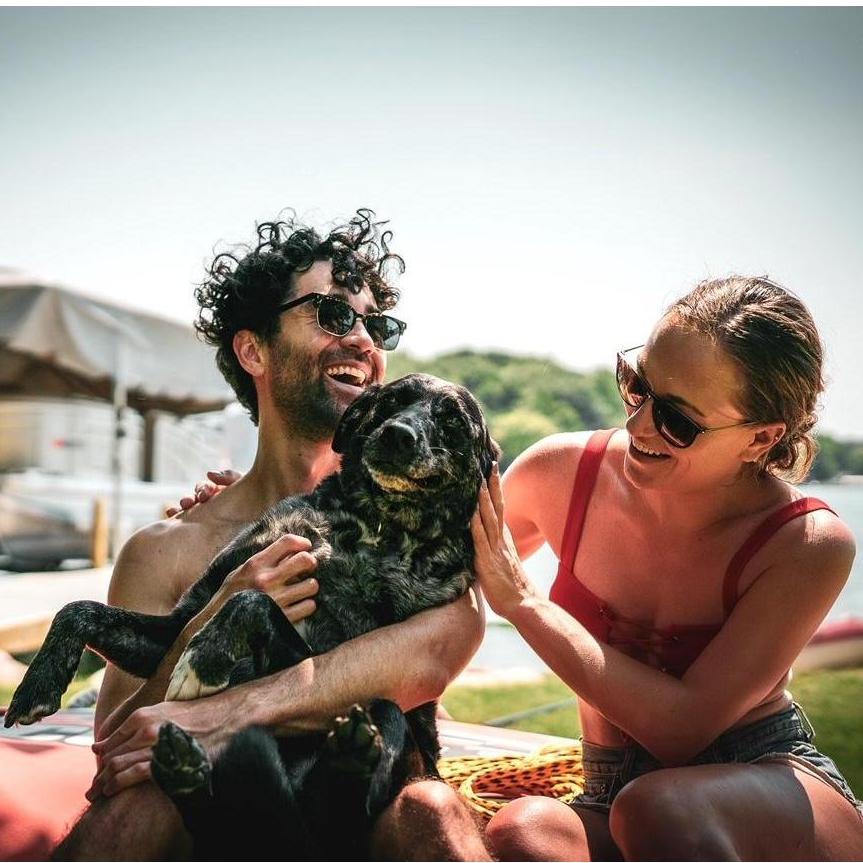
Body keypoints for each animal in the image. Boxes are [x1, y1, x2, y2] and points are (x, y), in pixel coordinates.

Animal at [5, 374, 500, 860]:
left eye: (452, 421)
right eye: (393, 401)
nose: (398, 434)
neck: (371, 531)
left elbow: (249, 601)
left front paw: (206, 657)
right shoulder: (169, 633)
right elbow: (78, 610)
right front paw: (36, 686)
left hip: (384, 725)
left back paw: (343, 761)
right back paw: (187, 773)